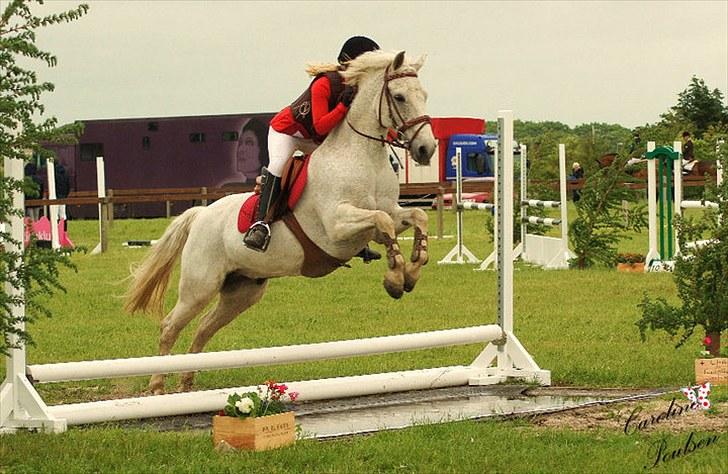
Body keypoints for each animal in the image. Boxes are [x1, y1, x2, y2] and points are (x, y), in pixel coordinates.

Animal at [123, 50, 438, 394]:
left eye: (424, 95)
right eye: (399, 97)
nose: (426, 149)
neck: (363, 158)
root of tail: (201, 215)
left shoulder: (389, 214)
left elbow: (413, 217)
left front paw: (412, 271)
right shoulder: (337, 227)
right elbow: (382, 221)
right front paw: (395, 278)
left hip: (243, 290)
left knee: (204, 327)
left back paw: (187, 380)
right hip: (200, 285)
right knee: (170, 325)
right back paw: (157, 385)